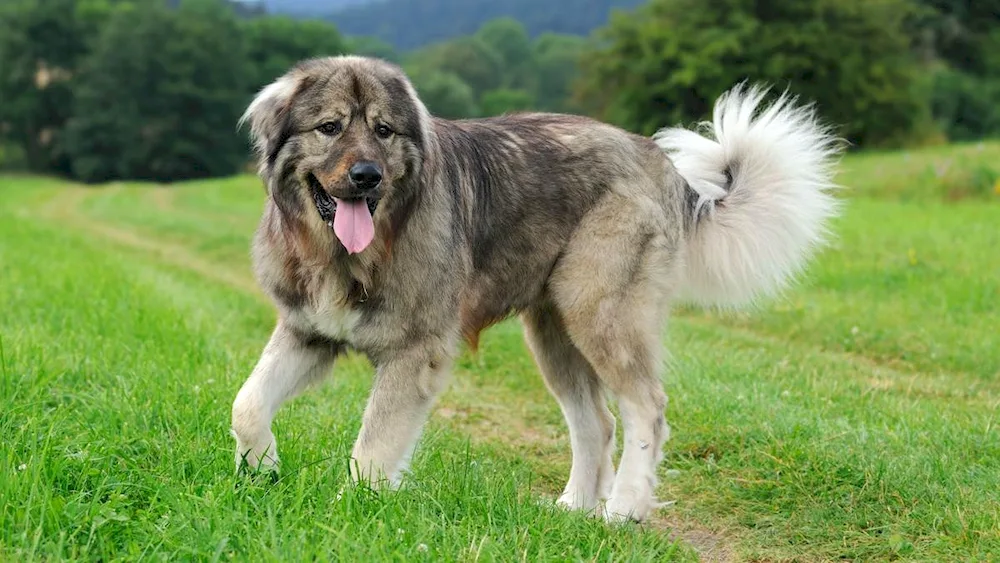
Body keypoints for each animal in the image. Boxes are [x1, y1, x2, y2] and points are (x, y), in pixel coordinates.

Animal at [230, 55, 840, 524]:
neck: (347, 255)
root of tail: (661, 164)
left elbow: (373, 446)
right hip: (553, 331)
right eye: (330, 127)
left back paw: (624, 509)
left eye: (383, 131)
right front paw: (262, 469)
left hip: (600, 314)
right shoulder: (307, 333)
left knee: (646, 406)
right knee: (596, 423)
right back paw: (574, 508)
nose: (367, 176)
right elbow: (248, 403)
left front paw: (351, 509)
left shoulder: (412, 354)